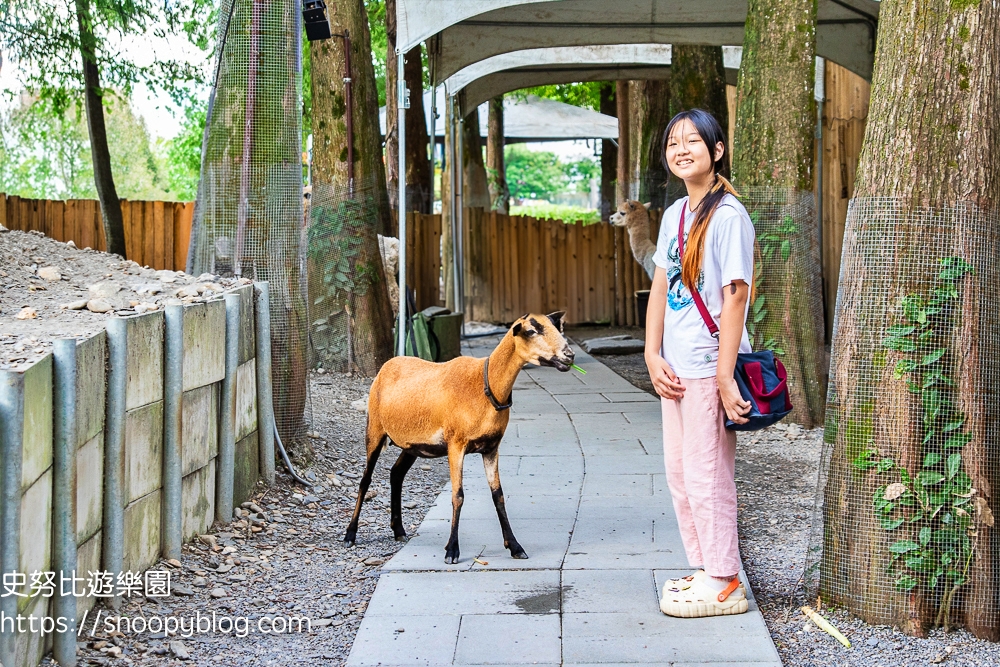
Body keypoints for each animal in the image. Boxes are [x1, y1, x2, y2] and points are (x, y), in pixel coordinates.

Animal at [348, 314, 576, 564]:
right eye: (532, 331)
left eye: (556, 327)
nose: (569, 355)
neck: (486, 384)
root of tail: (387, 365)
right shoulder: (455, 444)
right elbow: (458, 495)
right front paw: (452, 550)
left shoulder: (491, 447)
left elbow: (498, 496)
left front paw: (515, 546)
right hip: (375, 429)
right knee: (365, 479)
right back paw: (350, 535)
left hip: (412, 445)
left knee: (396, 474)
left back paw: (398, 530)